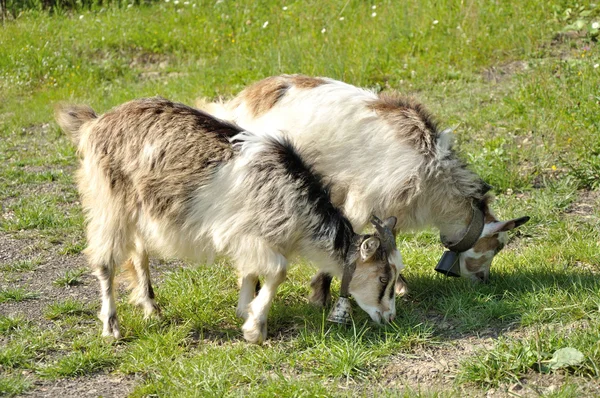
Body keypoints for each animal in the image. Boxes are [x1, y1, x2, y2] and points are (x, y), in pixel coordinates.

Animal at [57, 97, 404, 346]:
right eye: (383, 278)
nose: (389, 317)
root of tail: (95, 123)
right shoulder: (244, 234)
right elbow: (277, 272)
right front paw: (255, 329)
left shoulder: (254, 238)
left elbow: (251, 272)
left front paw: (243, 309)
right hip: (108, 203)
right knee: (105, 261)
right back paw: (111, 329)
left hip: (139, 210)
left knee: (138, 253)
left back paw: (151, 309)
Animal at [195, 74, 528, 304]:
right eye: (497, 246)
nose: (484, 280)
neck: (433, 175)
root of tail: (239, 102)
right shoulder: (364, 200)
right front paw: (320, 296)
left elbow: (389, 239)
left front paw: (400, 285)